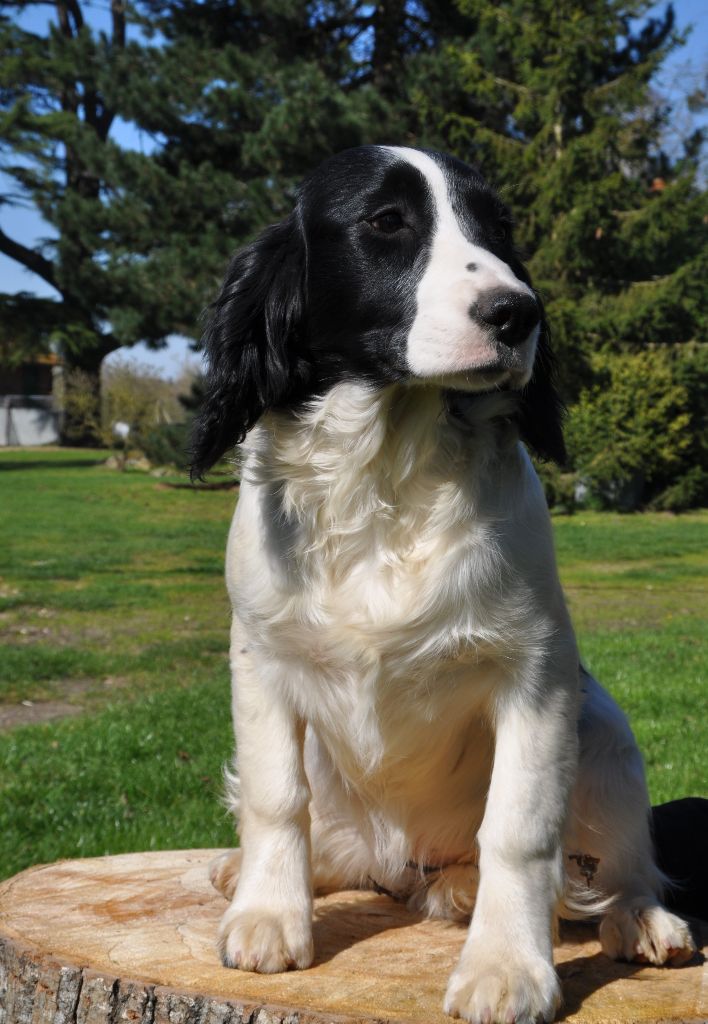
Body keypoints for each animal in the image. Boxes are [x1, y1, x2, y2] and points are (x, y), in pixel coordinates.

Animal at [191, 146, 696, 1024]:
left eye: (498, 229)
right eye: (387, 222)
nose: (516, 313)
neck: (389, 472)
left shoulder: (538, 676)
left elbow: (520, 831)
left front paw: (507, 967)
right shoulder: (260, 657)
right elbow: (275, 794)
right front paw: (268, 913)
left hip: (605, 734)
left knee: (617, 865)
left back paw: (635, 917)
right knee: (344, 852)